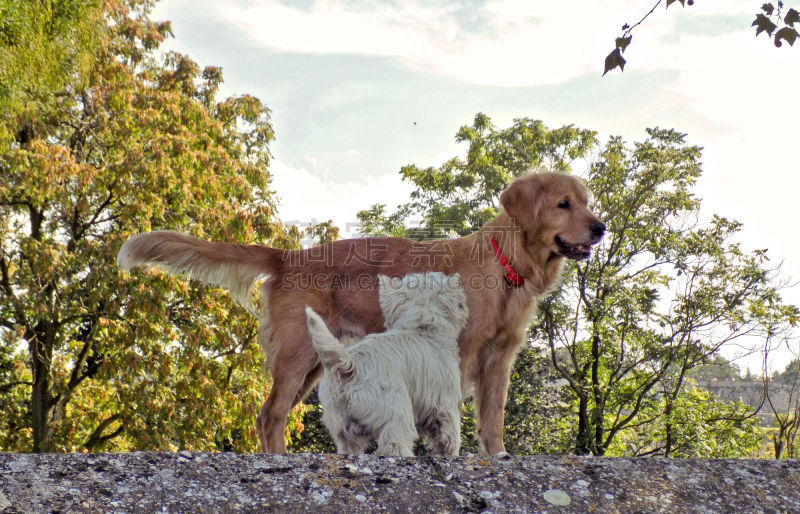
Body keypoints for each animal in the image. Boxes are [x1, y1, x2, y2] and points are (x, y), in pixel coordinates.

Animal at [304, 270, 468, 454]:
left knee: (348, 446)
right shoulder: (445, 404)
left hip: (341, 425)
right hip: (395, 413)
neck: (422, 327)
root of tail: (349, 366)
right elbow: (449, 437)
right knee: (394, 443)